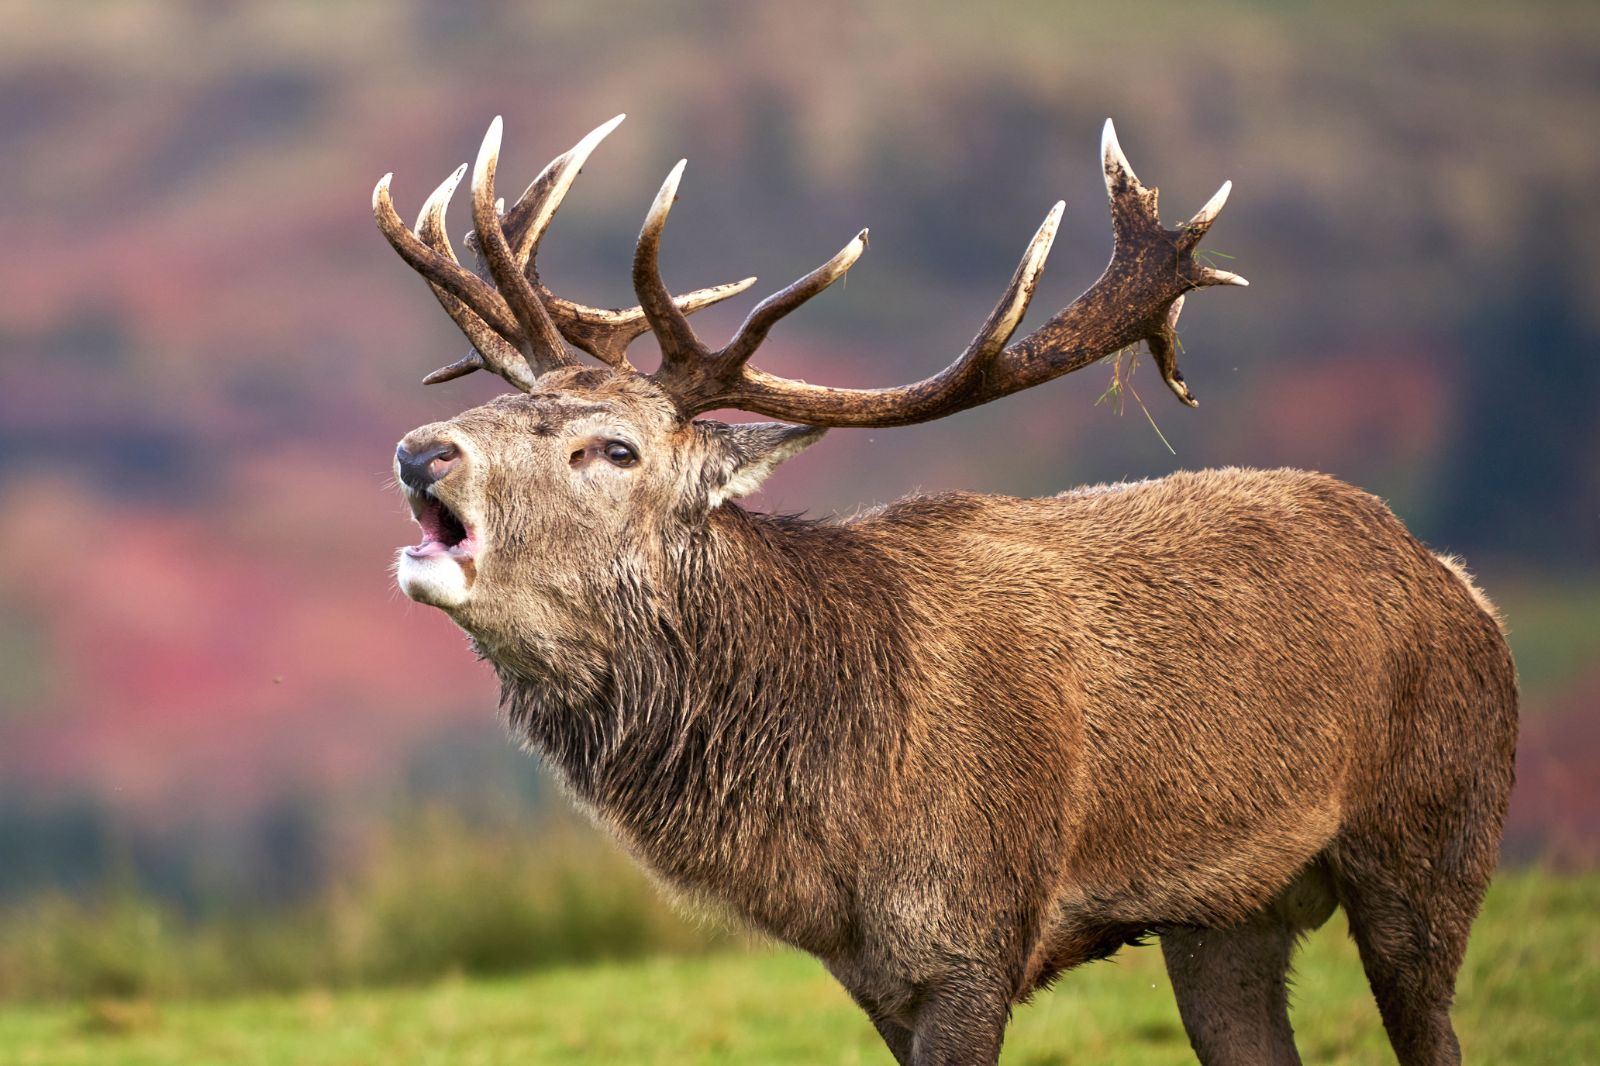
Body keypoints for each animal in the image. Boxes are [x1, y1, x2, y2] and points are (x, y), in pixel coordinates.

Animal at [372, 114, 1517, 1066]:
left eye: (612, 449)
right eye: (499, 400)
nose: (420, 451)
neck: (835, 820)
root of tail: (1460, 586)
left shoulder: (974, 935)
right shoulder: (873, 977)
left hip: (1433, 834)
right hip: (1228, 917)